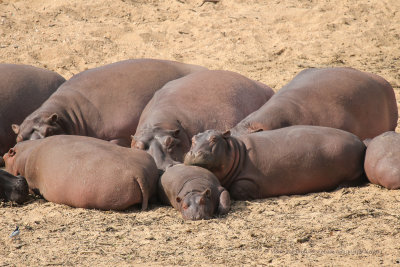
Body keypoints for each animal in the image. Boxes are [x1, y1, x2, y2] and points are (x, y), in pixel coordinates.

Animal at [184, 126, 366, 201]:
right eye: (192, 139)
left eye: (214, 139)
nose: (193, 153)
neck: (237, 151)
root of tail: (361, 143)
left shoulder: (249, 180)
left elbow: (237, 189)